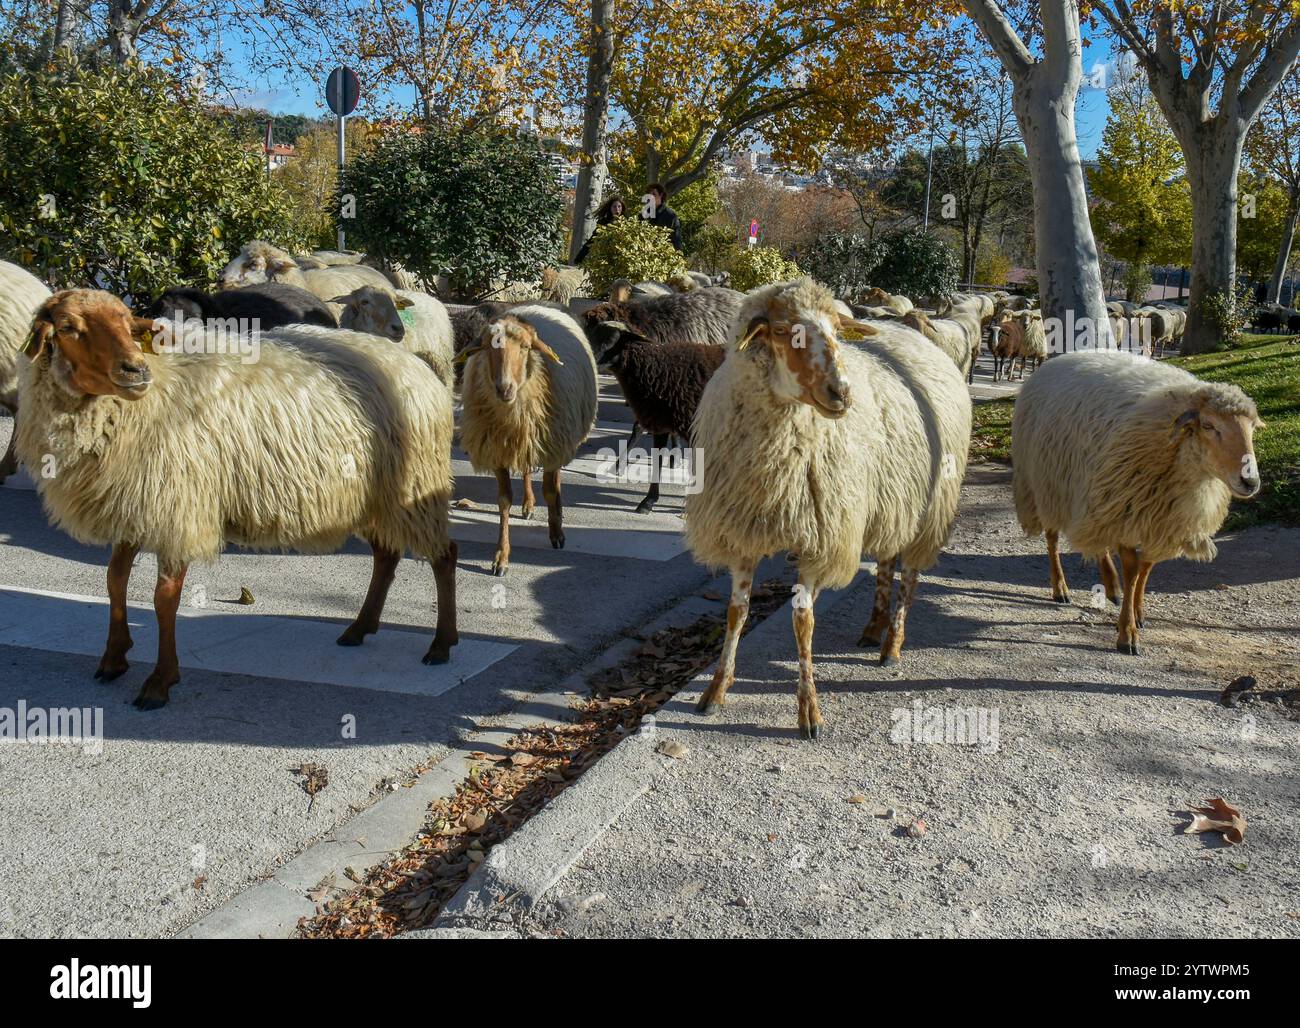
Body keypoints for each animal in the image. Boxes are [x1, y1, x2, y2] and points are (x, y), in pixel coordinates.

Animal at [17, 289, 460, 706]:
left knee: (444, 555)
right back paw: (360, 627)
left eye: (128, 323)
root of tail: (414, 365)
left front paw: (160, 682)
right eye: (68, 327)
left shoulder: (179, 504)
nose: (135, 371)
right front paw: (113, 658)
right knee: (386, 554)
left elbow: (164, 599)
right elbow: (114, 581)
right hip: (373, 496)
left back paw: (441, 644)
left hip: (415, 485)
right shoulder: (136, 500)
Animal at [457, 304, 598, 579]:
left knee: (553, 480)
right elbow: (503, 501)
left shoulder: (552, 443)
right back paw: (528, 504)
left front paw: (557, 533)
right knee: (526, 470)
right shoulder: (498, 450)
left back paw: (556, 512)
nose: (504, 388)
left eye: (525, 347)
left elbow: (550, 490)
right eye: (488, 347)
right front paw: (501, 557)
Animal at [686, 279, 972, 738]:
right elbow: (736, 613)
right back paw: (874, 627)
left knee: (910, 573)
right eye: (781, 331)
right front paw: (716, 691)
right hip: (891, 498)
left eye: (838, 329)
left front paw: (809, 711)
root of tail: (913, 334)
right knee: (887, 560)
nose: (842, 393)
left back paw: (892, 643)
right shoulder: (744, 529)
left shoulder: (819, 539)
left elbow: (803, 621)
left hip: (931, 505)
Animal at [1013, 350, 1258, 655]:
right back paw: (1061, 588)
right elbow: (1131, 569)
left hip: (1092, 492)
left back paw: (1111, 587)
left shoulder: (1159, 520)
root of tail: (1060, 358)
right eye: (1209, 425)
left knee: (1097, 540)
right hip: (1048, 483)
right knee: (1052, 538)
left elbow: (1147, 565)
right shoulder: (1125, 507)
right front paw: (1127, 633)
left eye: (1252, 428)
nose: (1251, 481)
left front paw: (1138, 611)